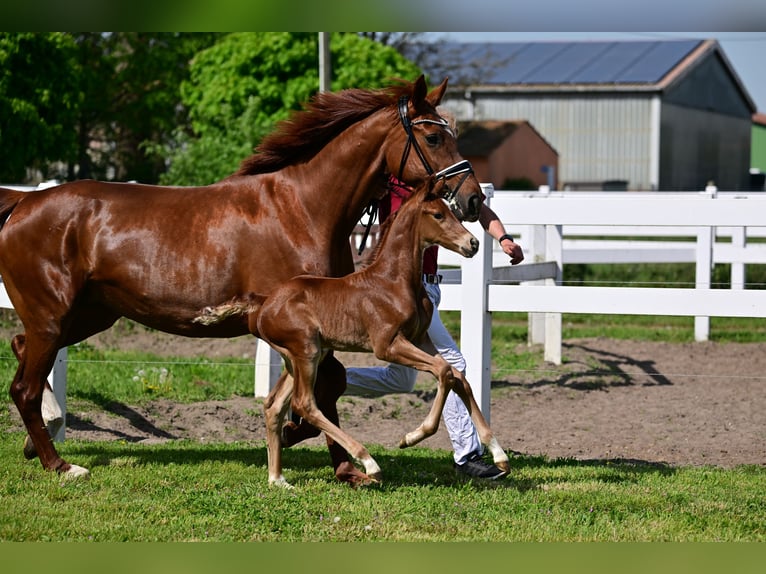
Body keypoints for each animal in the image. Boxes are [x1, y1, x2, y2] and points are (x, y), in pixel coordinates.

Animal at [256, 178, 510, 488]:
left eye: (452, 212)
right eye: (438, 215)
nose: (472, 243)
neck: (394, 281)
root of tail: (264, 306)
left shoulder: (420, 340)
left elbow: (457, 376)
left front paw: (499, 454)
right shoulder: (387, 345)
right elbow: (443, 371)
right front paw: (412, 436)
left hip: (303, 356)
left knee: (274, 405)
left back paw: (277, 478)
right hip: (306, 351)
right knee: (304, 403)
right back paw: (369, 463)